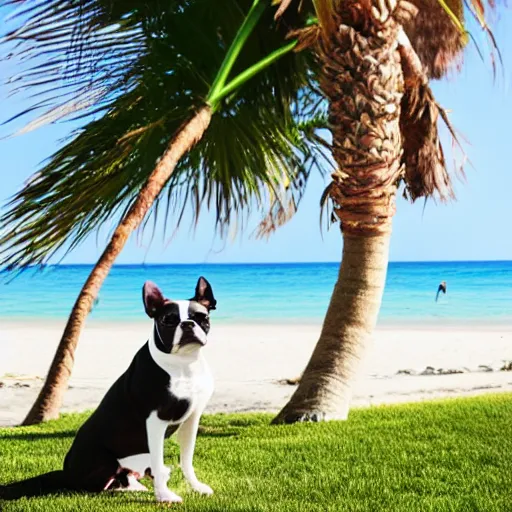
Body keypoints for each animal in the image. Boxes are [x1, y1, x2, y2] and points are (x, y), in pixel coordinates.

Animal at [0, 278, 216, 502]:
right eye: (168, 320)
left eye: (202, 317)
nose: (188, 324)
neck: (183, 364)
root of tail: (66, 473)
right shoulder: (155, 421)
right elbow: (159, 462)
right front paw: (165, 496)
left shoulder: (192, 419)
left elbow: (187, 461)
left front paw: (197, 487)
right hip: (106, 461)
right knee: (101, 485)